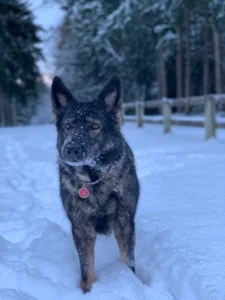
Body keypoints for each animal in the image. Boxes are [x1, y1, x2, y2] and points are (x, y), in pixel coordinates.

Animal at [50, 75, 139, 292]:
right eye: (68, 126)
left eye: (94, 127)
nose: (71, 149)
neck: (94, 179)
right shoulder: (81, 229)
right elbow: (86, 269)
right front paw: (88, 291)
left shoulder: (125, 223)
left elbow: (129, 261)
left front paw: (132, 283)